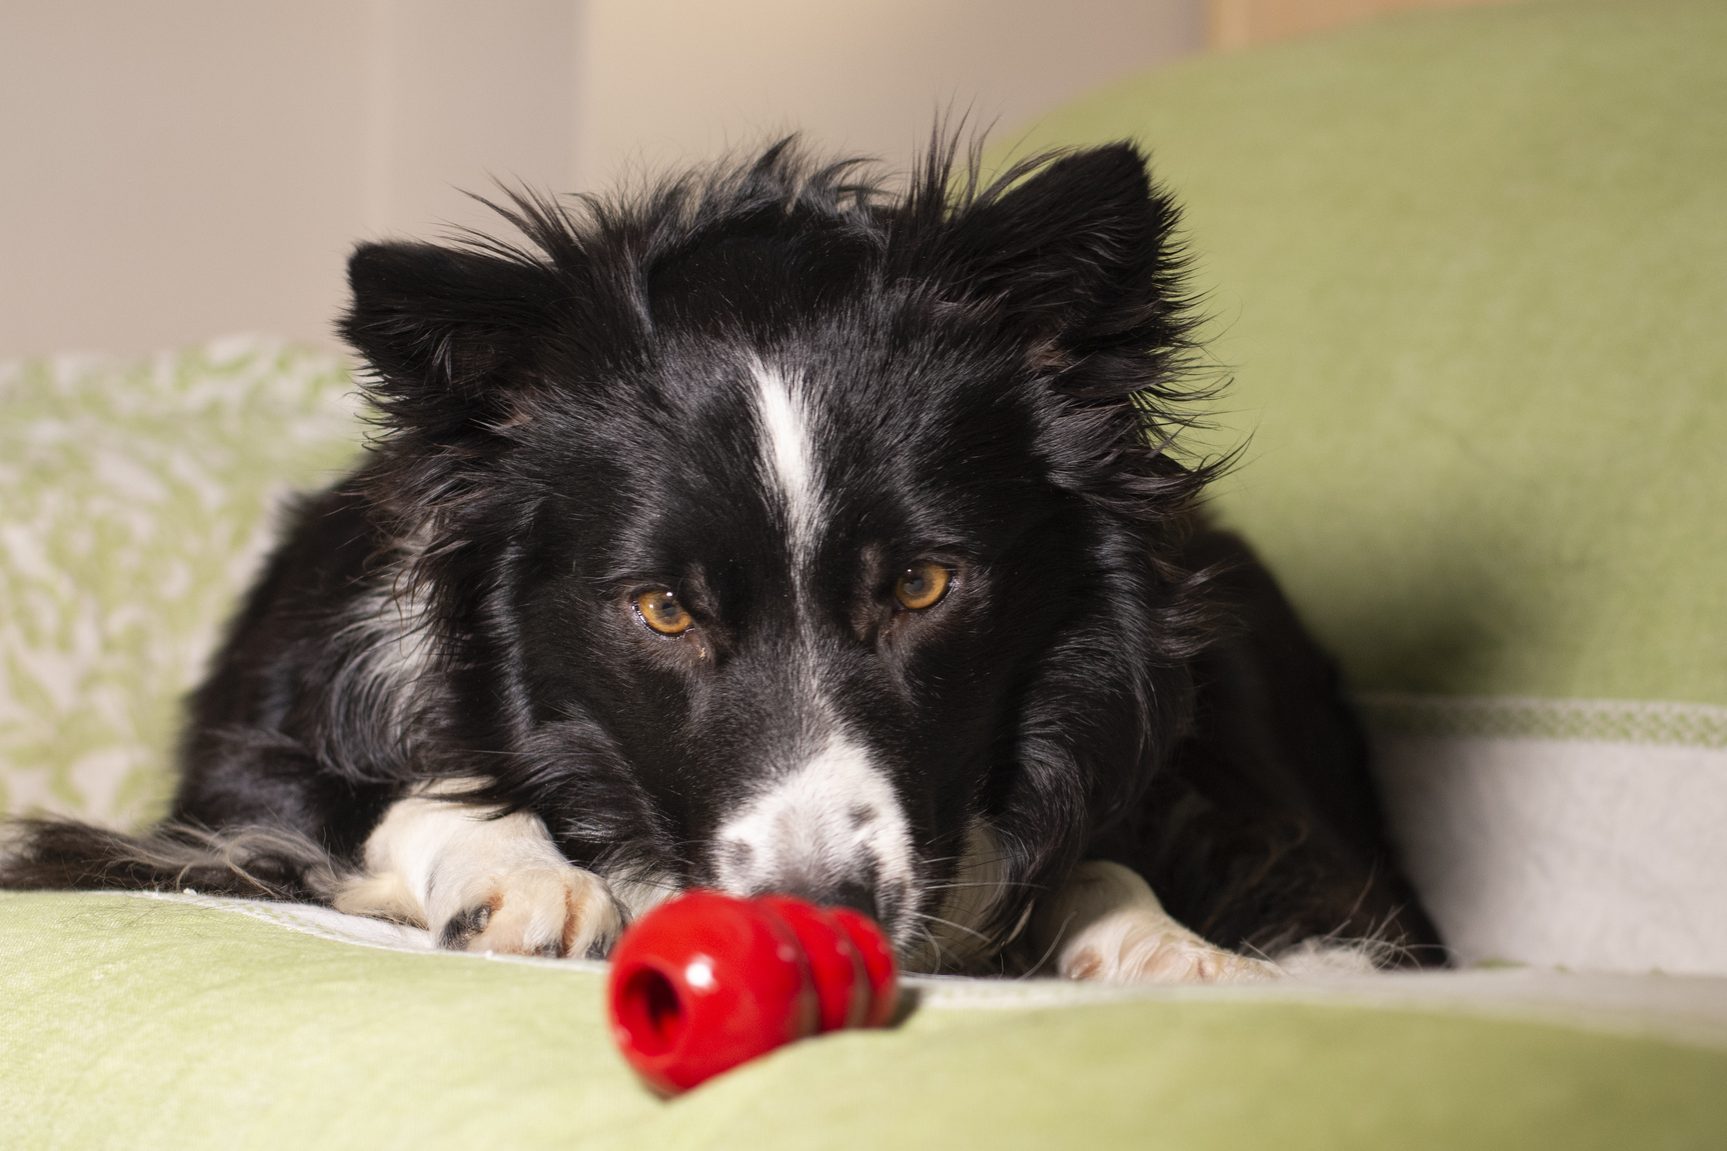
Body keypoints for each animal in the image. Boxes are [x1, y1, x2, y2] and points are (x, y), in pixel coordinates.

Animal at [0, 134, 1436, 974]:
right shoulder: (248, 757)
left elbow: (1108, 848)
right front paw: (528, 873)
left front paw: (1165, 943)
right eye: (662, 609)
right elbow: (390, 791)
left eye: (922, 584)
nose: (821, 910)